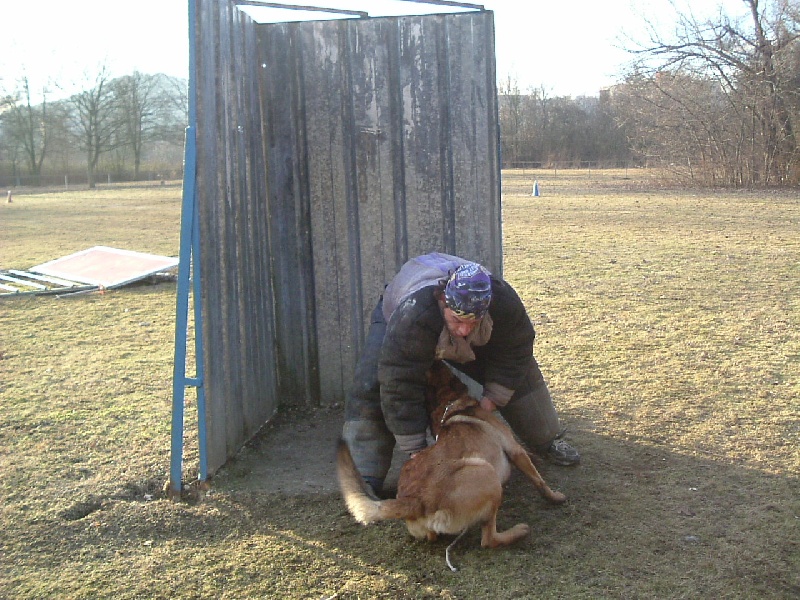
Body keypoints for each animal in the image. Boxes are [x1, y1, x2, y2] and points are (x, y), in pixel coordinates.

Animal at [334, 360, 564, 568]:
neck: (448, 405)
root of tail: (417, 500)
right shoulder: (515, 450)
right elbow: (539, 481)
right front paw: (554, 497)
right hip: (486, 473)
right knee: (488, 539)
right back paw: (519, 531)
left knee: (436, 537)